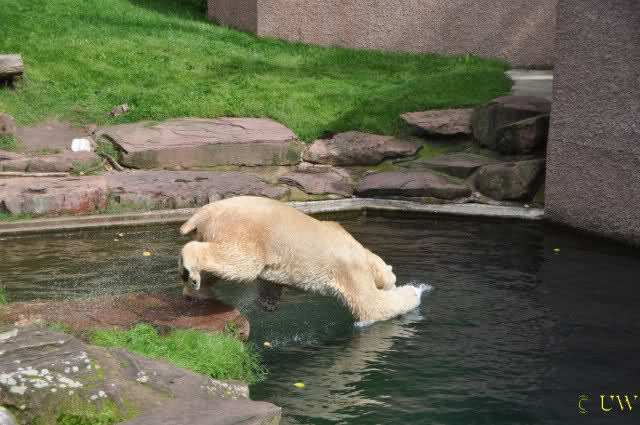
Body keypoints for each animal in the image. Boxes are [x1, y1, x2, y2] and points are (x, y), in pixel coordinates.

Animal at [178, 196, 426, 322]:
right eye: (394, 280)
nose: (393, 282)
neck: (362, 252)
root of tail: (202, 214)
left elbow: (269, 284)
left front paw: (268, 304)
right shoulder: (351, 269)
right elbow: (372, 306)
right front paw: (415, 292)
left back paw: (196, 288)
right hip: (244, 232)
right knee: (240, 263)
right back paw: (191, 273)